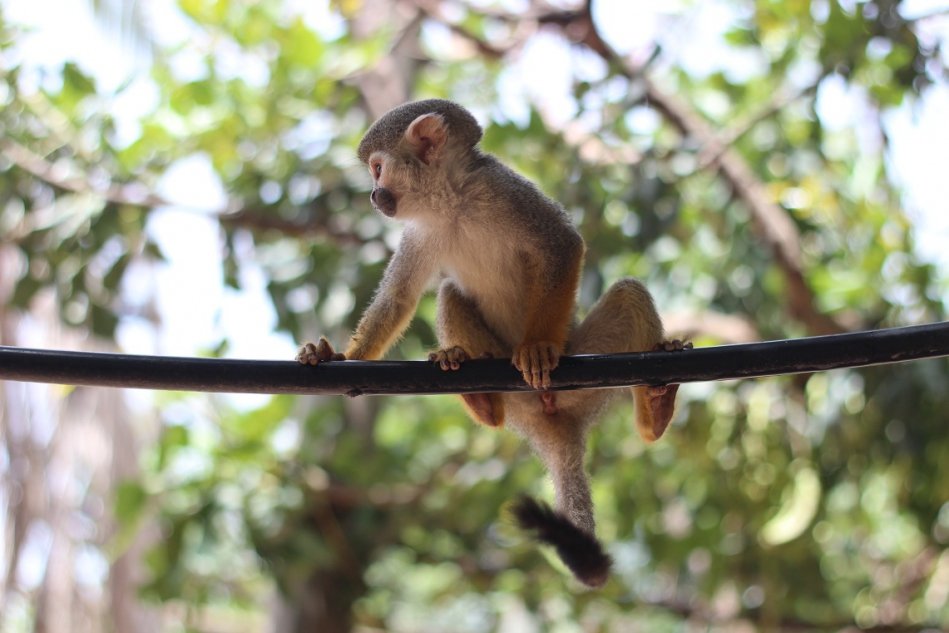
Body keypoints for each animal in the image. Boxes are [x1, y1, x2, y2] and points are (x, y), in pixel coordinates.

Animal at [298, 99, 688, 588]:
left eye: (377, 169)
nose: (372, 195)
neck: (453, 200)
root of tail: (554, 424)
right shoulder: (421, 230)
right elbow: (398, 299)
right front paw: (338, 355)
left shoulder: (502, 189)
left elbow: (563, 246)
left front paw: (539, 347)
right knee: (450, 293)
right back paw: (481, 399)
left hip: (582, 382)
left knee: (629, 292)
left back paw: (653, 408)